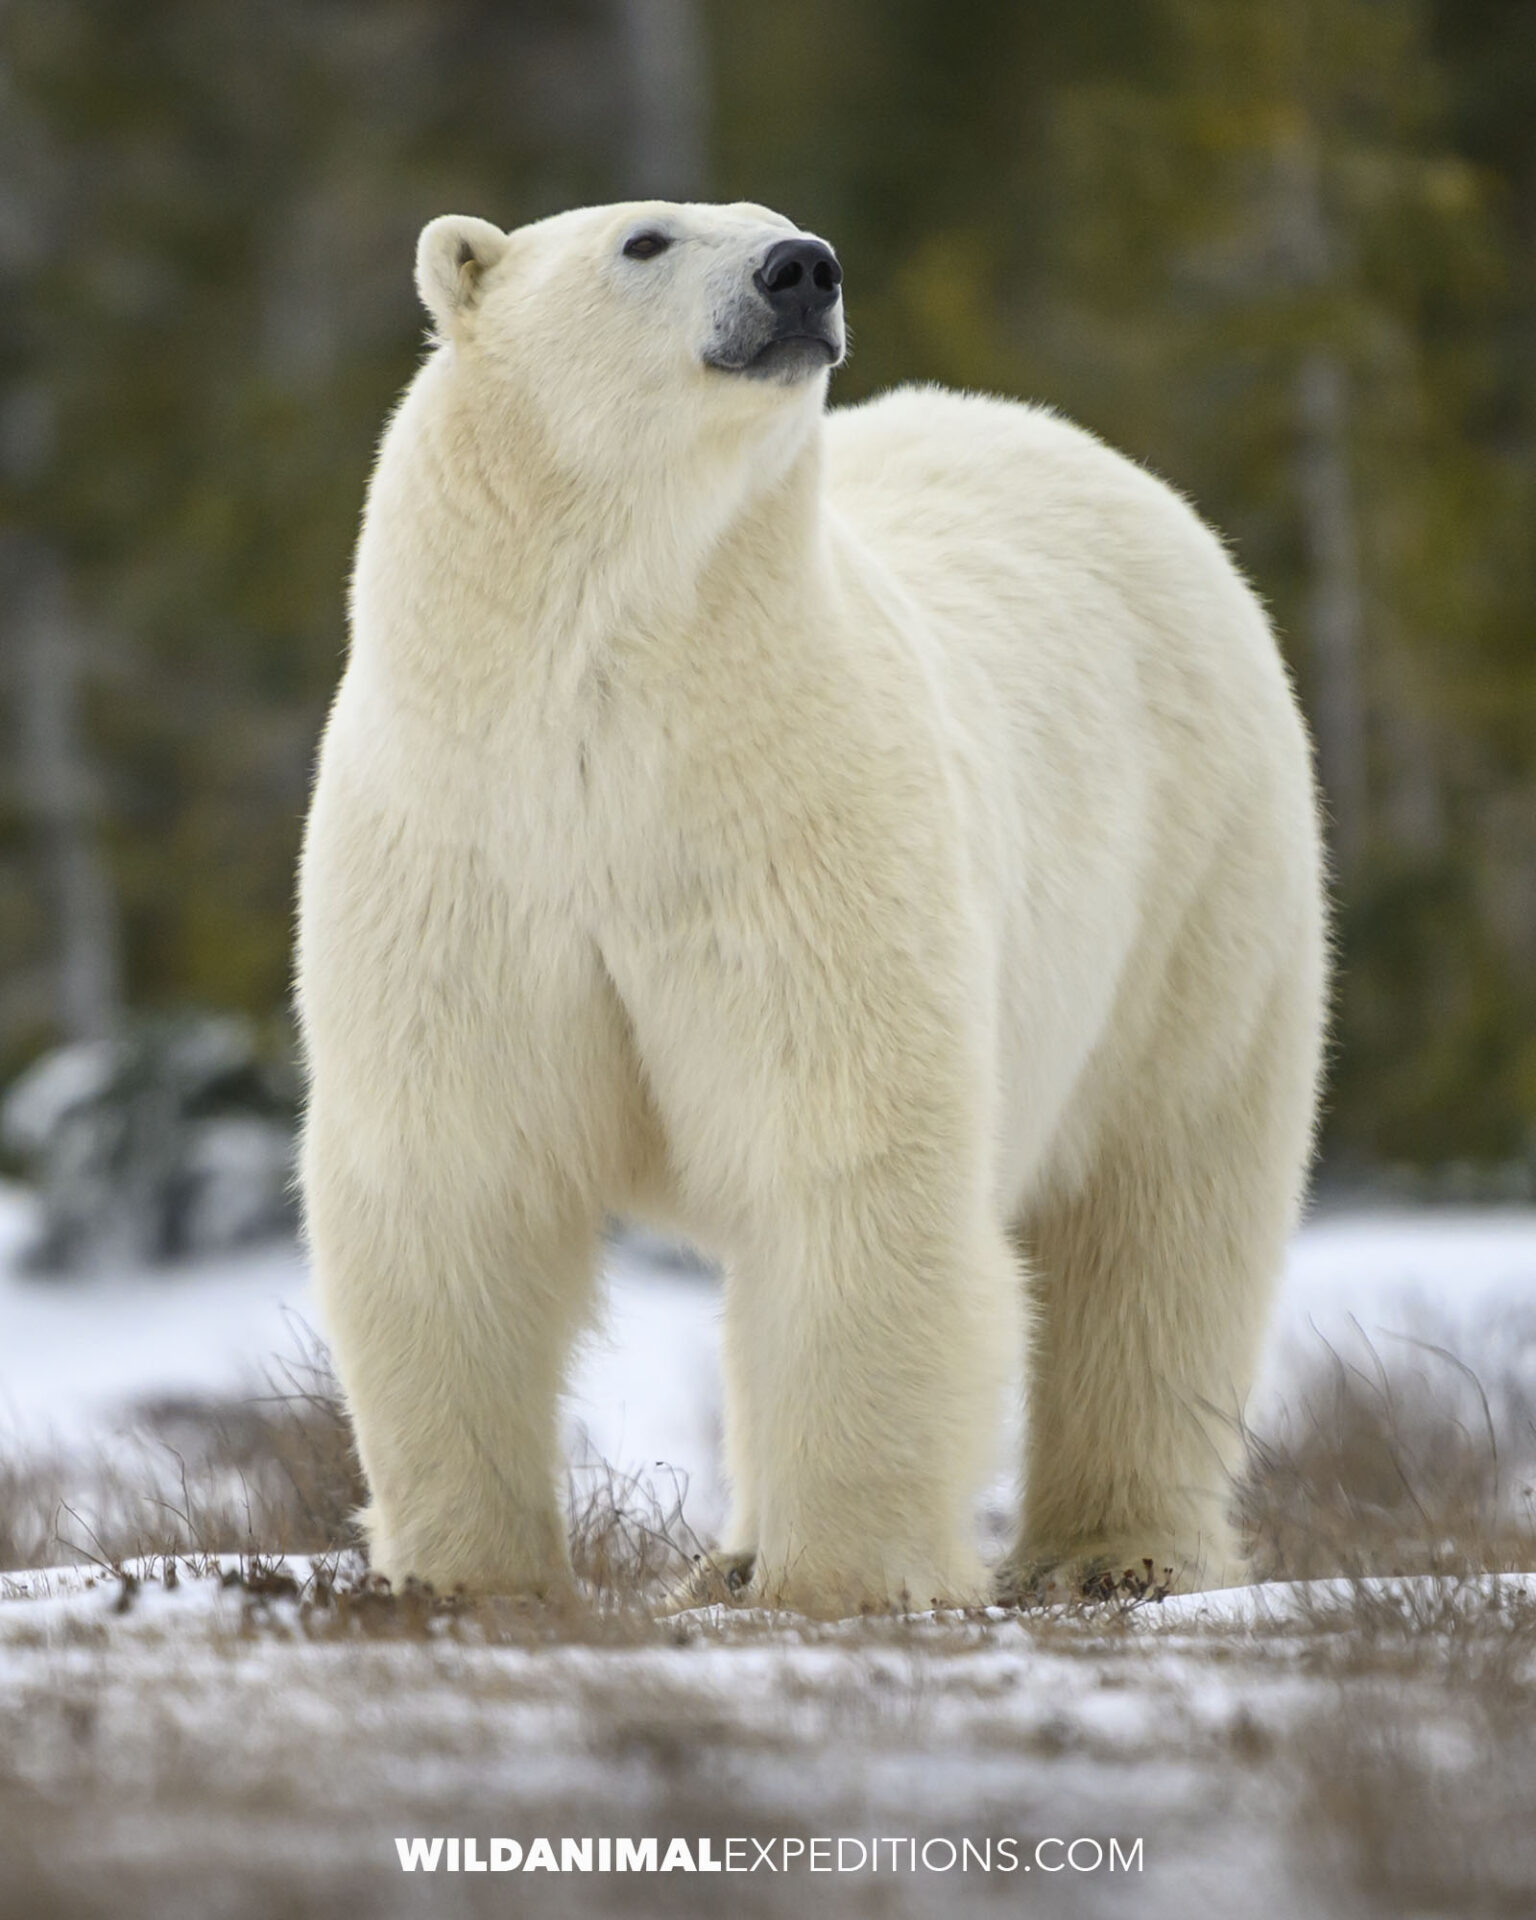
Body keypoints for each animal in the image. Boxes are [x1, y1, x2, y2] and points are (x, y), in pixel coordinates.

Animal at [296, 199, 1327, 1617]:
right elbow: (455, 1177)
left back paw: (1111, 1552)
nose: (804, 271)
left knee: (1160, 1215)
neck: (606, 710)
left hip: (1201, 879)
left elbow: (843, 1153)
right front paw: (464, 1575)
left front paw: (846, 1578)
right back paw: (731, 1558)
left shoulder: (796, 821)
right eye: (646, 240)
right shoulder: (468, 854)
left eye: (779, 226)